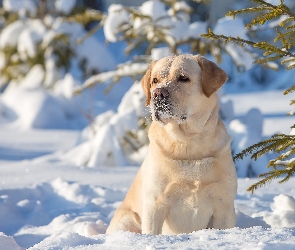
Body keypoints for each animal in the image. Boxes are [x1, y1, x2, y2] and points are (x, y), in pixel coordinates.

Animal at [107, 54, 238, 234]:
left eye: (183, 78)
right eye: (155, 80)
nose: (158, 93)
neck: (187, 143)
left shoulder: (223, 204)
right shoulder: (155, 204)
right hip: (127, 219)